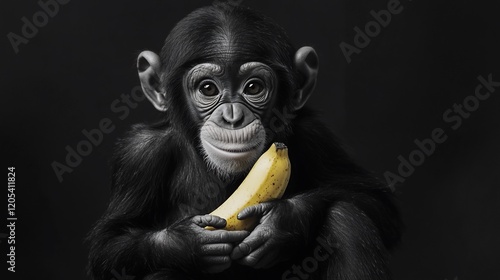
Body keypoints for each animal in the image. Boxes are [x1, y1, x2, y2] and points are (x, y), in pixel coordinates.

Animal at [88, 2, 400, 280]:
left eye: (253, 87)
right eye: (208, 88)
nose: (232, 117)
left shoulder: (316, 135)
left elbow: (374, 201)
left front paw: (282, 220)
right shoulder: (139, 154)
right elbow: (111, 244)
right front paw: (188, 243)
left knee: (346, 217)